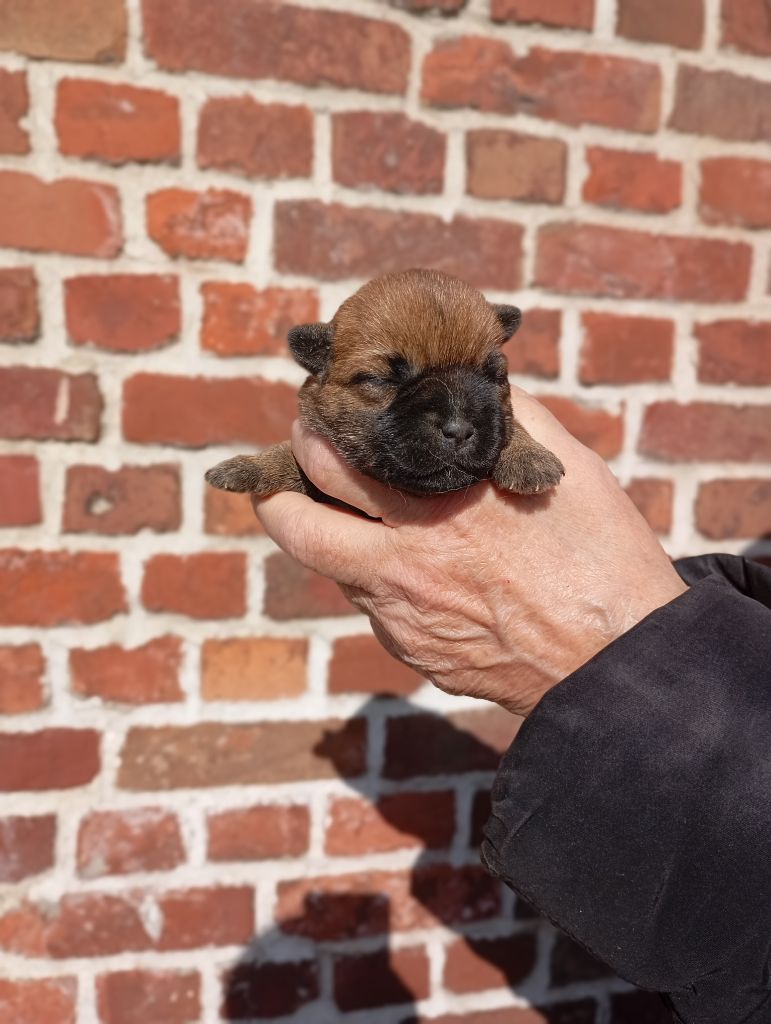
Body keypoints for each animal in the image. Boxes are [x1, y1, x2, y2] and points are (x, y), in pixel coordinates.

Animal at [204, 268, 565, 499]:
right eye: (381, 380)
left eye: (495, 377)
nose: (459, 430)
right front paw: (251, 465)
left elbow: (511, 426)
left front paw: (529, 458)